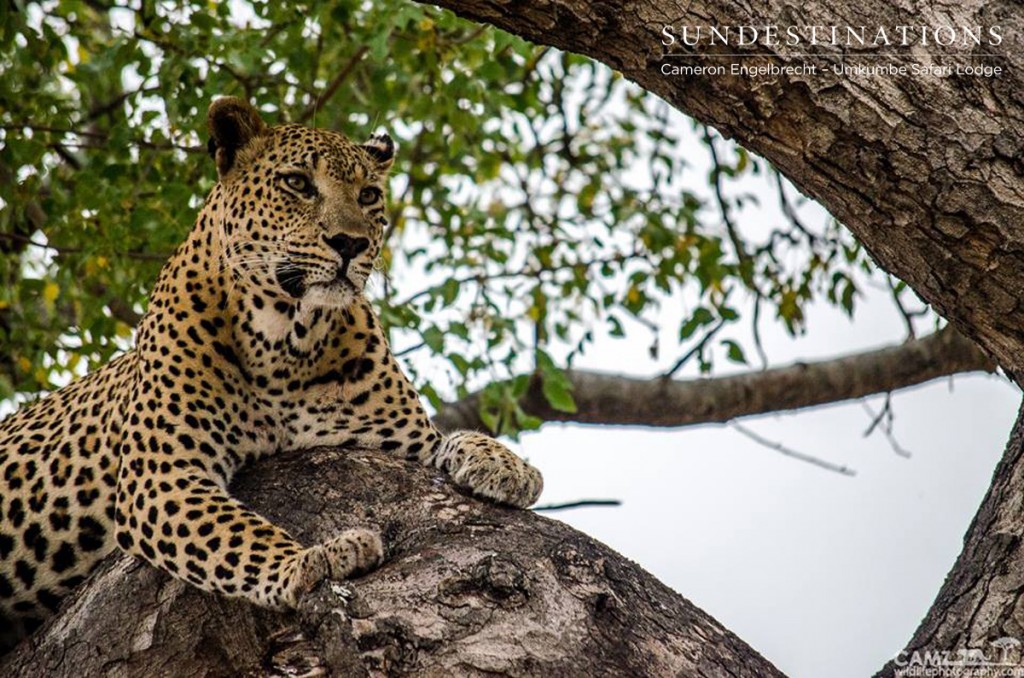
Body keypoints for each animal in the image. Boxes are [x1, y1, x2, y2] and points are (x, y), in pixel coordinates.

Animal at [0, 96, 544, 655]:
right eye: (298, 183)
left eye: (369, 195)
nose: (350, 243)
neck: (288, 339)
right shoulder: (161, 473)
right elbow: (233, 534)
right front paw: (314, 560)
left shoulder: (397, 436)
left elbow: (444, 437)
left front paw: (507, 466)